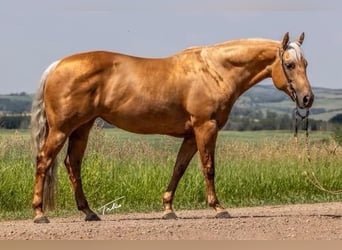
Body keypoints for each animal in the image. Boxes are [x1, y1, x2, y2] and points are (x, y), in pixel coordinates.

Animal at [30, 32, 314, 223]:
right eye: (289, 65)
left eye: (306, 64)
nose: (307, 99)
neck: (215, 71)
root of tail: (57, 65)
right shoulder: (205, 127)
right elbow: (208, 168)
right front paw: (218, 208)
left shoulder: (190, 135)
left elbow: (179, 168)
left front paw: (168, 209)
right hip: (61, 129)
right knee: (44, 161)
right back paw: (39, 213)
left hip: (82, 128)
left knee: (72, 164)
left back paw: (89, 212)